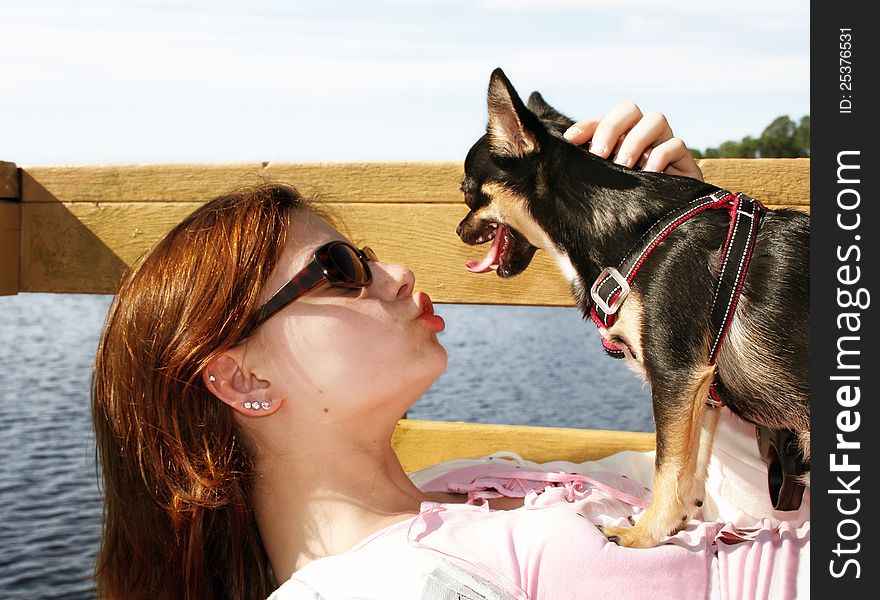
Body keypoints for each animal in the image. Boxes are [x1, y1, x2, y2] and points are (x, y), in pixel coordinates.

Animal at [458, 67, 808, 548]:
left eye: (467, 193)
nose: (458, 229)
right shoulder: (700, 391)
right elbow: (690, 465)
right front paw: (677, 522)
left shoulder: (675, 375)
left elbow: (667, 467)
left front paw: (643, 534)